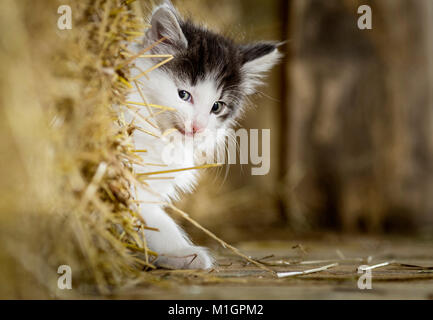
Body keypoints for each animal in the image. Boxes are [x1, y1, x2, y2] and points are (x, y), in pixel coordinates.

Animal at [126, 1, 280, 268]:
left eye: (216, 106)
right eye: (183, 95)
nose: (197, 126)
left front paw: (177, 255)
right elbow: (152, 220)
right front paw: (183, 253)